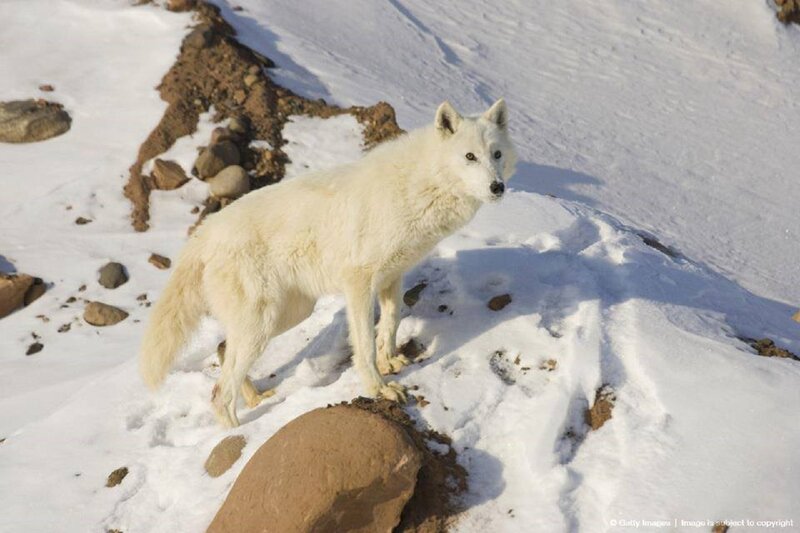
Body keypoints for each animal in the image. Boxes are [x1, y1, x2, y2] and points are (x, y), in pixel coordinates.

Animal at [139, 99, 517, 427]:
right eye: (469, 156)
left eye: (496, 154)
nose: (497, 187)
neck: (419, 185)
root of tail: (204, 233)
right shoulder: (358, 283)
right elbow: (364, 344)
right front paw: (379, 388)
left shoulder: (392, 276)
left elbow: (391, 322)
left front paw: (390, 361)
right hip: (263, 324)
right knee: (219, 394)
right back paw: (239, 434)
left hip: (287, 315)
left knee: (221, 349)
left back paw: (258, 400)